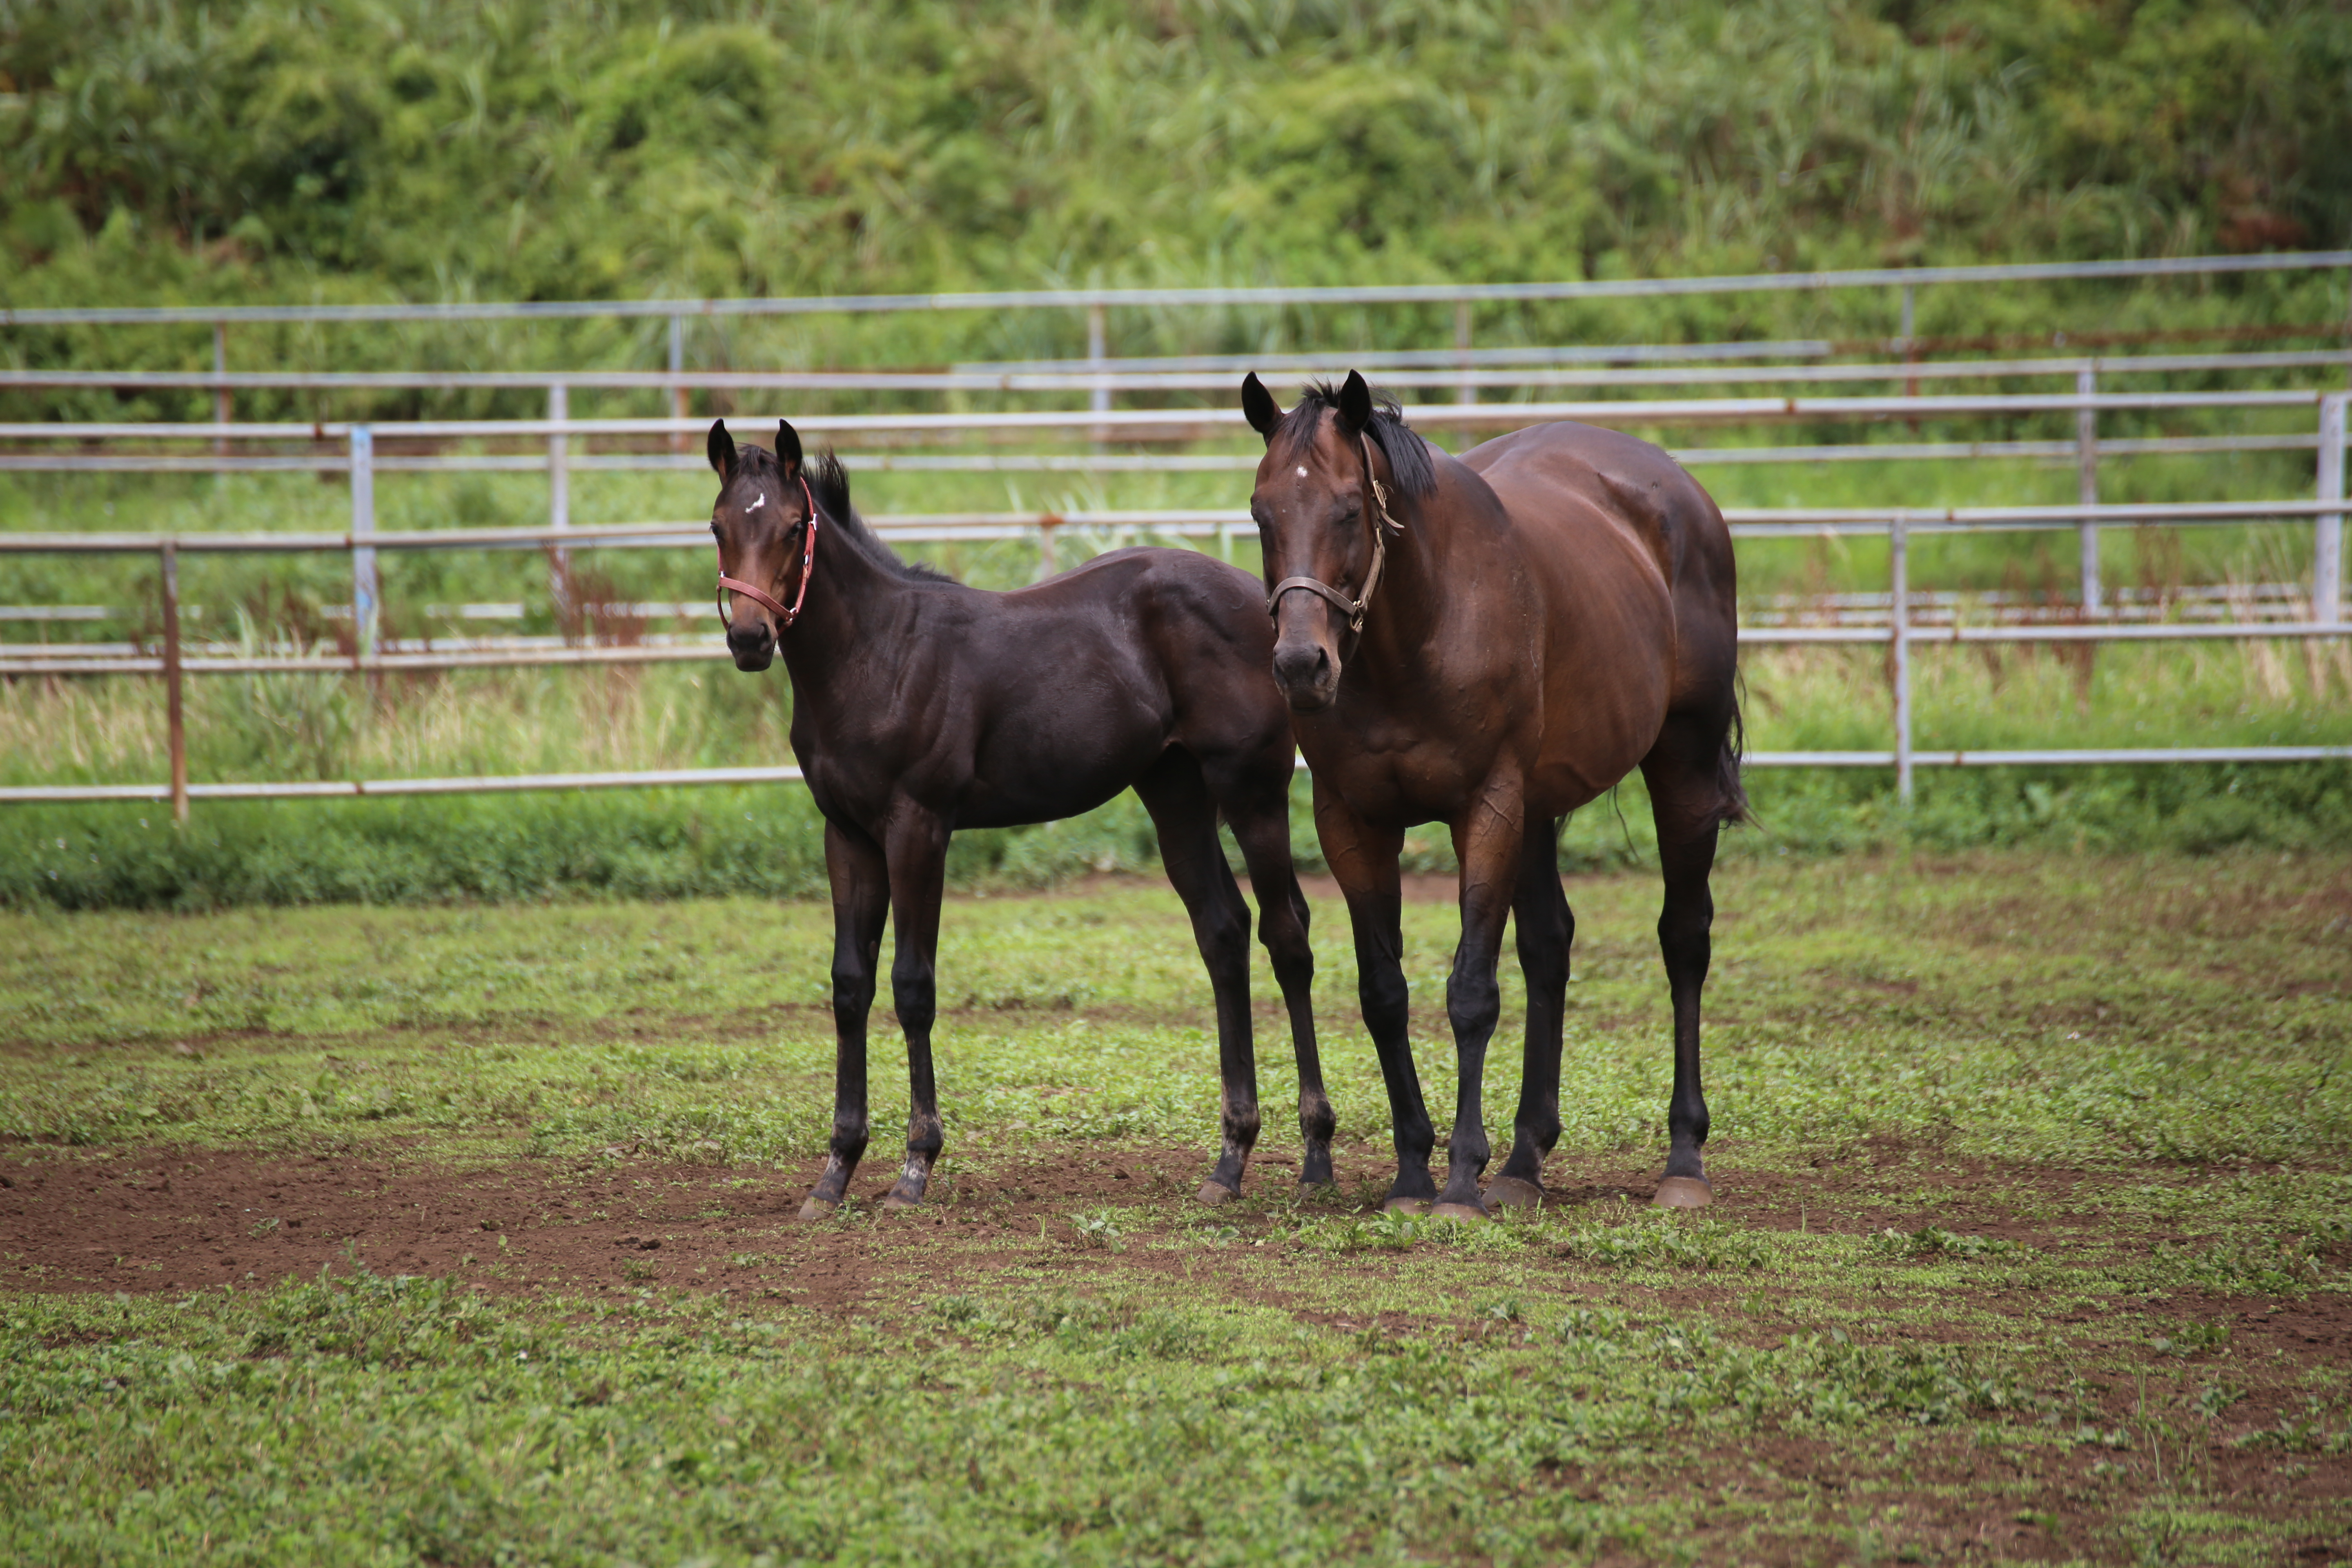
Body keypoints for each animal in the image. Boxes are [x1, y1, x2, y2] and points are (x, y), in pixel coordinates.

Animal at [696, 423, 1336, 1222]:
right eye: (718, 526)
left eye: (790, 527)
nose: (750, 640)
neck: (876, 654)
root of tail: (1268, 603)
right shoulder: (846, 835)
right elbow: (849, 987)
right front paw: (835, 1172)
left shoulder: (918, 827)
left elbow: (912, 985)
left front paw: (915, 1167)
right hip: (1176, 793)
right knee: (1224, 932)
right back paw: (1230, 1160)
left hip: (1251, 790)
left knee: (1288, 936)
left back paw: (1315, 1154)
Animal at [1242, 374, 1740, 1222]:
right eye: (1260, 512)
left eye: (1349, 509)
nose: (1303, 665)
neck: (1420, 630)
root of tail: (1683, 493)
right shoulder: (1353, 821)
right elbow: (1384, 993)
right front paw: (1414, 1171)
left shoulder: (1488, 808)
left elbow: (1471, 991)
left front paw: (1459, 1181)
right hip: (1540, 809)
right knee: (1549, 947)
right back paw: (1524, 1159)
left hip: (1683, 763)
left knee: (1685, 939)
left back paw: (1683, 1159)